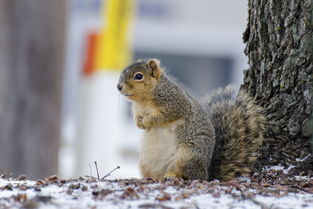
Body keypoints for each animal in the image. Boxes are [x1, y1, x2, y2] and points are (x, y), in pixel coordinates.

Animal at [117, 58, 266, 181]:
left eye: (138, 76)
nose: (118, 87)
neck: (143, 101)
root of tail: (207, 173)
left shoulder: (175, 104)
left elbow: (163, 116)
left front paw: (147, 121)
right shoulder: (138, 109)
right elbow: (136, 116)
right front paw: (139, 123)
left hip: (187, 156)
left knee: (189, 175)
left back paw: (173, 175)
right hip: (146, 163)